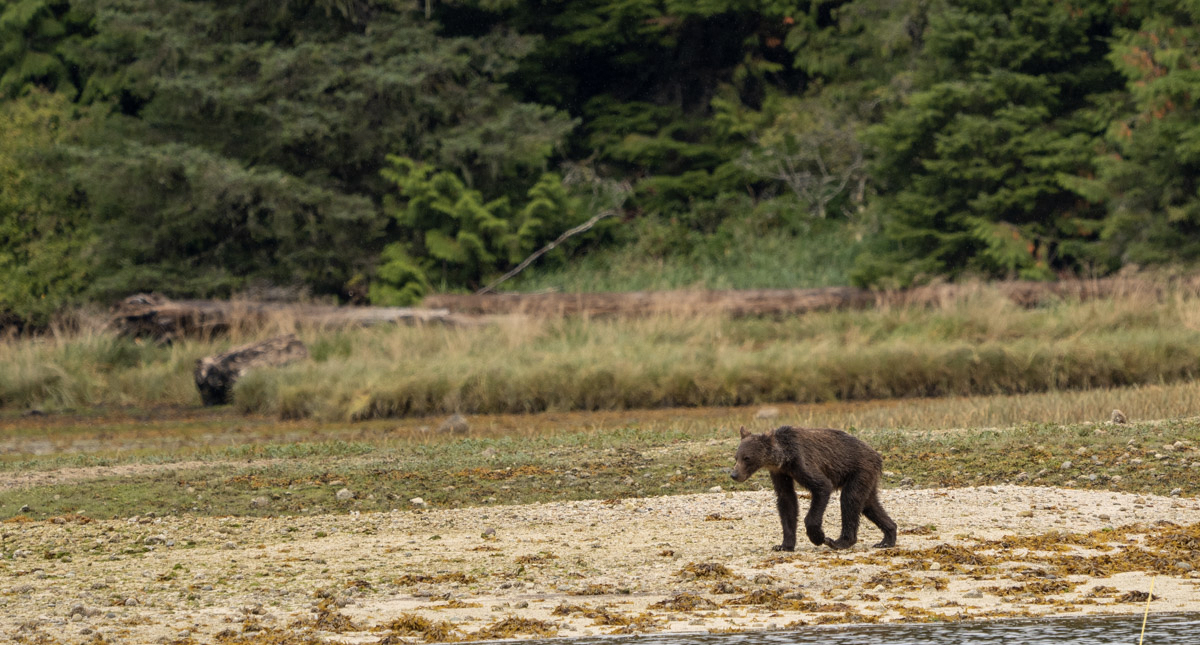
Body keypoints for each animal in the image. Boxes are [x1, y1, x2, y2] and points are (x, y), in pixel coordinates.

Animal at [730, 425, 897, 551]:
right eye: (736, 457)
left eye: (747, 458)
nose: (734, 474)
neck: (784, 458)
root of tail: (877, 455)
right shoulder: (780, 472)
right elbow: (786, 500)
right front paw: (783, 545)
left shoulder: (802, 462)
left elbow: (822, 486)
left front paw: (818, 537)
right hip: (867, 477)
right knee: (869, 504)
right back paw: (887, 538)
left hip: (859, 469)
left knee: (850, 499)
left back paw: (839, 542)